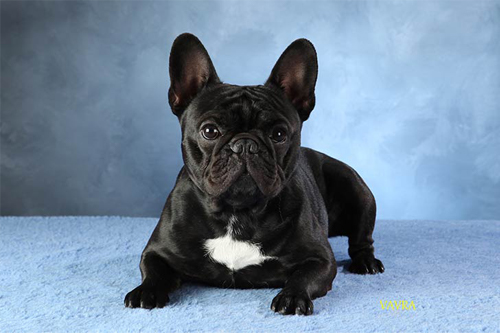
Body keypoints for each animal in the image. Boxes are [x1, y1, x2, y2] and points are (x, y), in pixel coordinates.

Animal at [125, 33, 382, 314]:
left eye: (279, 134)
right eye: (209, 131)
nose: (245, 145)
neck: (237, 212)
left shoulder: (320, 258)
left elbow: (303, 276)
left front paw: (292, 297)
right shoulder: (157, 251)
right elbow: (154, 271)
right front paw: (146, 291)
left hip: (357, 190)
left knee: (362, 240)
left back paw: (366, 262)